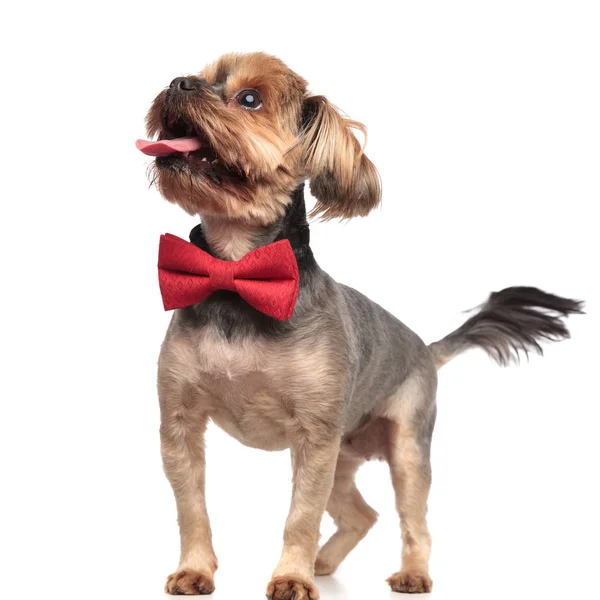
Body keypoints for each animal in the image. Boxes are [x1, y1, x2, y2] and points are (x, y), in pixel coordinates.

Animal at [137, 54, 580, 596]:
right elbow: (192, 508)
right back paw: (324, 562)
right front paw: (195, 570)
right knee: (362, 515)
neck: (237, 273)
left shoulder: (314, 437)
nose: (178, 83)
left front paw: (291, 578)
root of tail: (425, 347)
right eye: (200, 76)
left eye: (250, 99)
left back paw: (409, 573)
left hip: (404, 448)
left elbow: (300, 518)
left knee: (414, 520)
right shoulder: (180, 423)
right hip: (342, 454)